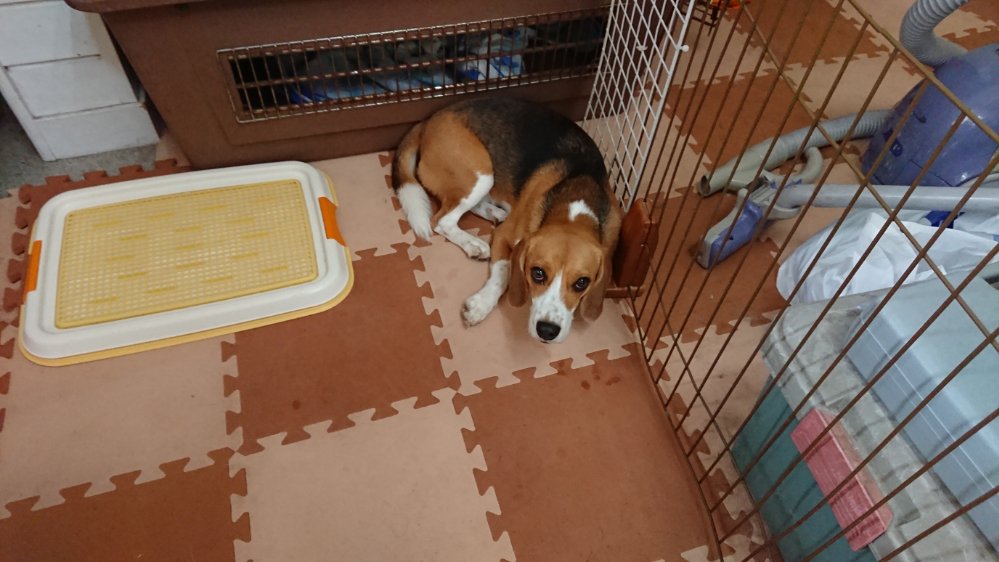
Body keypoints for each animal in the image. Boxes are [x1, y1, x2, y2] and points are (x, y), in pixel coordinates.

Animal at [392, 97, 622, 343]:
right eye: (537, 273)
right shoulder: (504, 236)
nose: (547, 331)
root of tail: (430, 120)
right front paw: (480, 306)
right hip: (481, 173)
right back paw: (474, 243)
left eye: (582, 283)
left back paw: (496, 214)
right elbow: (503, 270)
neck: (576, 206)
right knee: (442, 220)